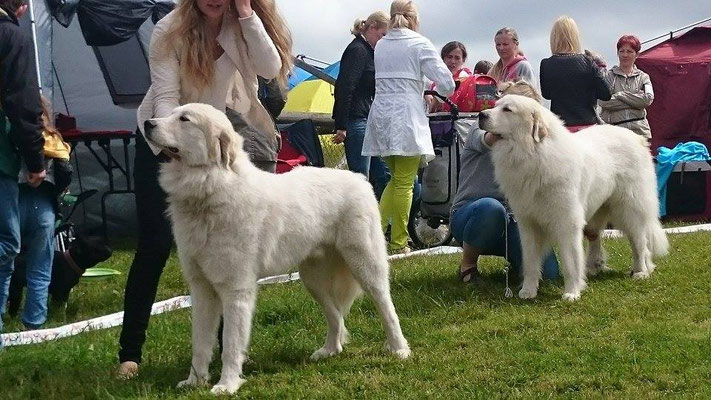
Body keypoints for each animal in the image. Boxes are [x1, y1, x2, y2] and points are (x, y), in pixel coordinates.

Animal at [143, 103, 412, 394]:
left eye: (184, 119)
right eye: (172, 113)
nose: (147, 123)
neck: (212, 186)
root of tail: (359, 178)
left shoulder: (236, 290)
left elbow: (230, 345)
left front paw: (227, 385)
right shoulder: (202, 290)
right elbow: (200, 344)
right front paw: (194, 381)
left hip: (364, 265)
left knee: (386, 307)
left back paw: (399, 349)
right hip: (312, 279)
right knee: (335, 315)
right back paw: (329, 350)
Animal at [478, 95, 668, 302]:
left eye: (507, 109)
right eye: (495, 105)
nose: (481, 115)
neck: (533, 154)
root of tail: (637, 138)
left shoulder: (567, 222)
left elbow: (570, 261)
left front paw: (572, 292)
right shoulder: (528, 224)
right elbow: (530, 261)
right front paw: (528, 291)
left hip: (629, 209)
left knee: (639, 242)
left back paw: (641, 271)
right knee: (595, 237)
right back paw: (594, 266)